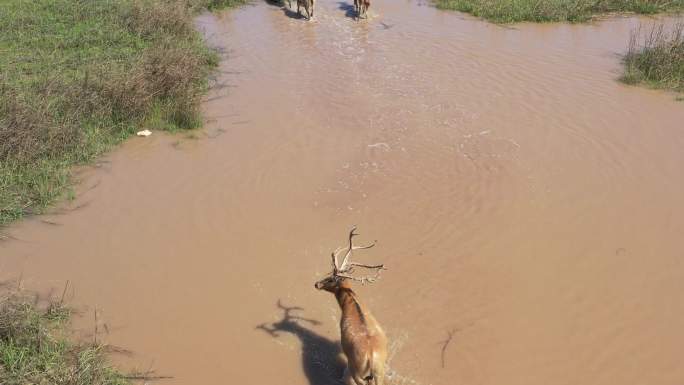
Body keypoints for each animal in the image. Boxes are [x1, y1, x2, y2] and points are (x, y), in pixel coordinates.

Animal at [314, 226, 388, 384]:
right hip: (380, 372)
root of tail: (371, 358)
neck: (350, 306)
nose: (316, 284)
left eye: (331, 278)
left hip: (357, 370)